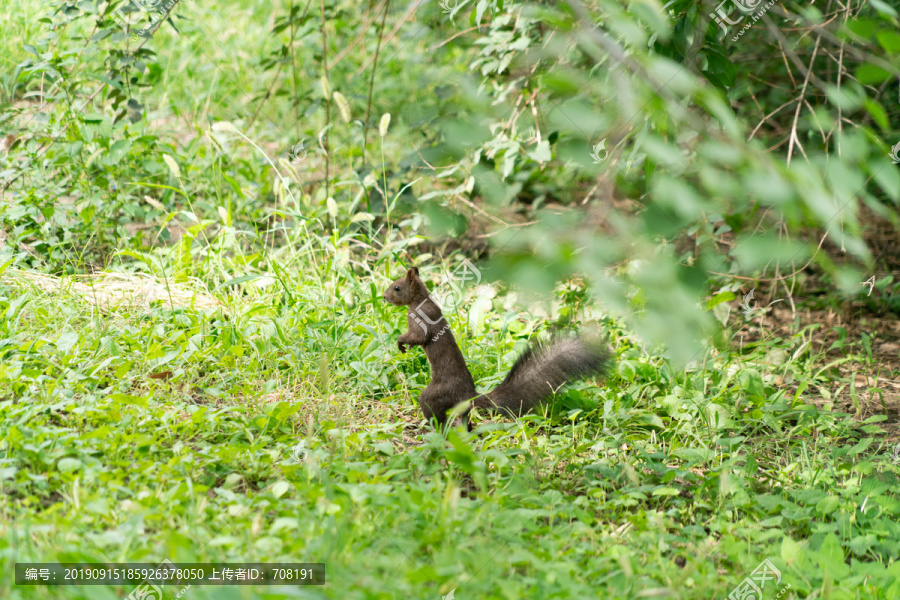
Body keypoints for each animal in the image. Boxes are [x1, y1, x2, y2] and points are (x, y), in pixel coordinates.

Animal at [382, 264, 612, 428]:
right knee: (465, 421)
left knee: (434, 411)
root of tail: (469, 396)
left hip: (438, 394)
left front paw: (400, 342)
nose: (384, 297)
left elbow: (418, 337)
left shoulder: (420, 319)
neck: (420, 299)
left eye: (397, 287)